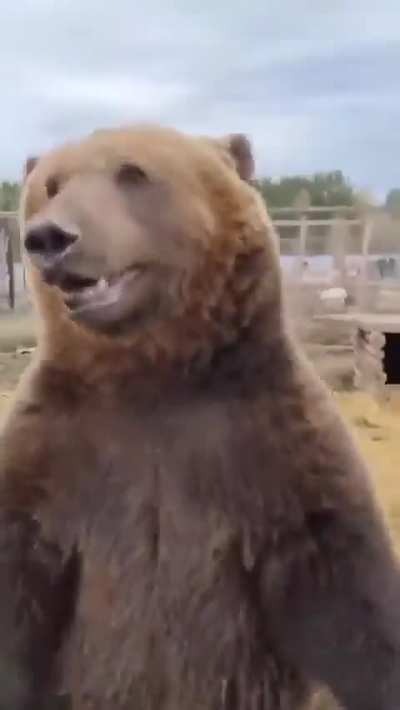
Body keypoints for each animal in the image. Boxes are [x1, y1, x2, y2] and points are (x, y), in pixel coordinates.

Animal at [0, 123, 400, 710]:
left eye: (133, 172)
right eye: (51, 184)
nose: (50, 237)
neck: (151, 376)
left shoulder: (268, 443)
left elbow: (348, 595)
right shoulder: (52, 454)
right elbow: (18, 581)